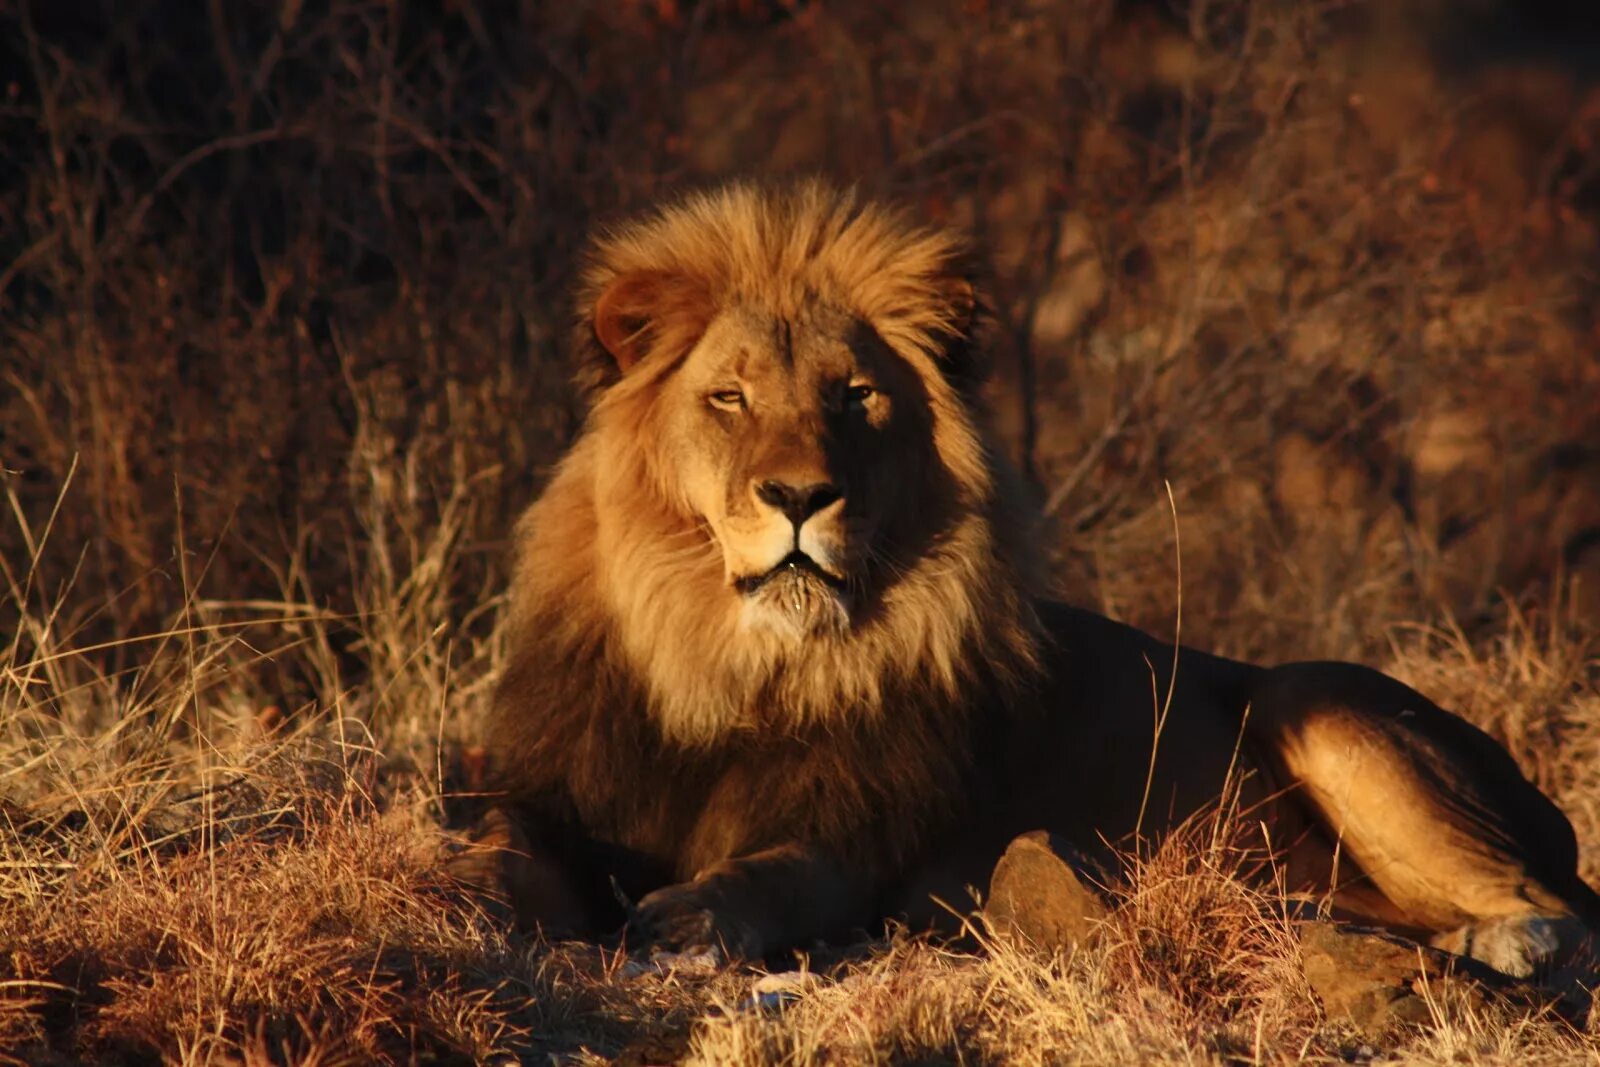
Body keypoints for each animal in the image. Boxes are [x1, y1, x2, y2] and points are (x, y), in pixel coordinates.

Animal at [483, 179, 1600, 979]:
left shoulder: (855, 842)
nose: (800, 496)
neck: (728, 661)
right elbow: (498, 842)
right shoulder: (559, 789)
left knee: (1558, 911)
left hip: (1307, 694)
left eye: (853, 396)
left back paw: (1496, 945)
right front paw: (458, 889)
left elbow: (768, 873)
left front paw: (683, 917)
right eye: (728, 397)